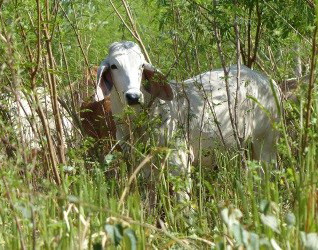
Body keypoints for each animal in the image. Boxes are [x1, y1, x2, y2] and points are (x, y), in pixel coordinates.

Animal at [95, 40, 280, 184]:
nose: (133, 96)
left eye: (141, 66)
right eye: (114, 66)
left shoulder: (179, 161)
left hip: (266, 143)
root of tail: (266, 80)